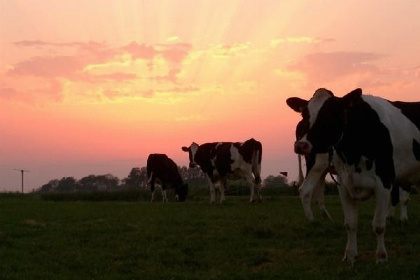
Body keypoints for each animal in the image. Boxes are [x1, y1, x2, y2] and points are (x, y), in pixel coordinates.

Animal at [286, 88, 420, 264]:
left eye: (331, 113)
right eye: (305, 114)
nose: (301, 145)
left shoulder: (384, 182)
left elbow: (379, 223)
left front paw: (380, 256)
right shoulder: (345, 184)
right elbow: (351, 223)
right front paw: (351, 255)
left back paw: (322, 216)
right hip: (317, 164)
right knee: (306, 190)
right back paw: (312, 219)